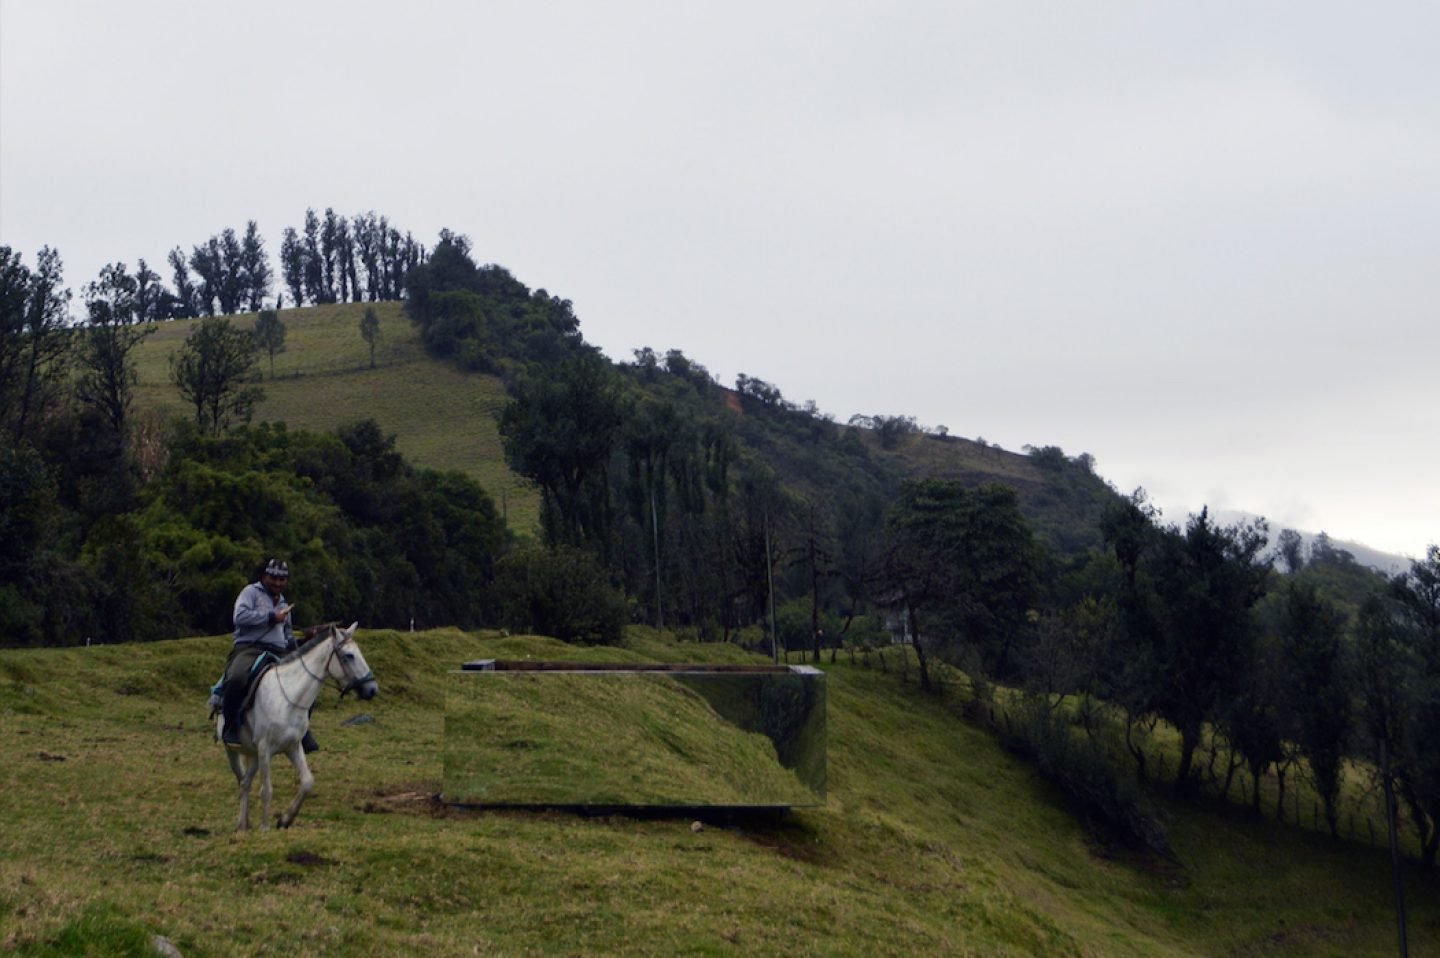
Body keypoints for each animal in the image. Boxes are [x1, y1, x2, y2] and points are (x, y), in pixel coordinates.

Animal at [217, 619, 377, 829]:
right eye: (349, 655)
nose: (372, 689)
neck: (287, 698)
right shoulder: (265, 749)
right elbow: (266, 790)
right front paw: (265, 828)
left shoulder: (292, 746)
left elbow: (307, 782)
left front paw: (285, 819)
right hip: (233, 751)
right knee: (242, 780)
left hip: (253, 754)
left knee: (245, 783)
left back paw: (243, 824)